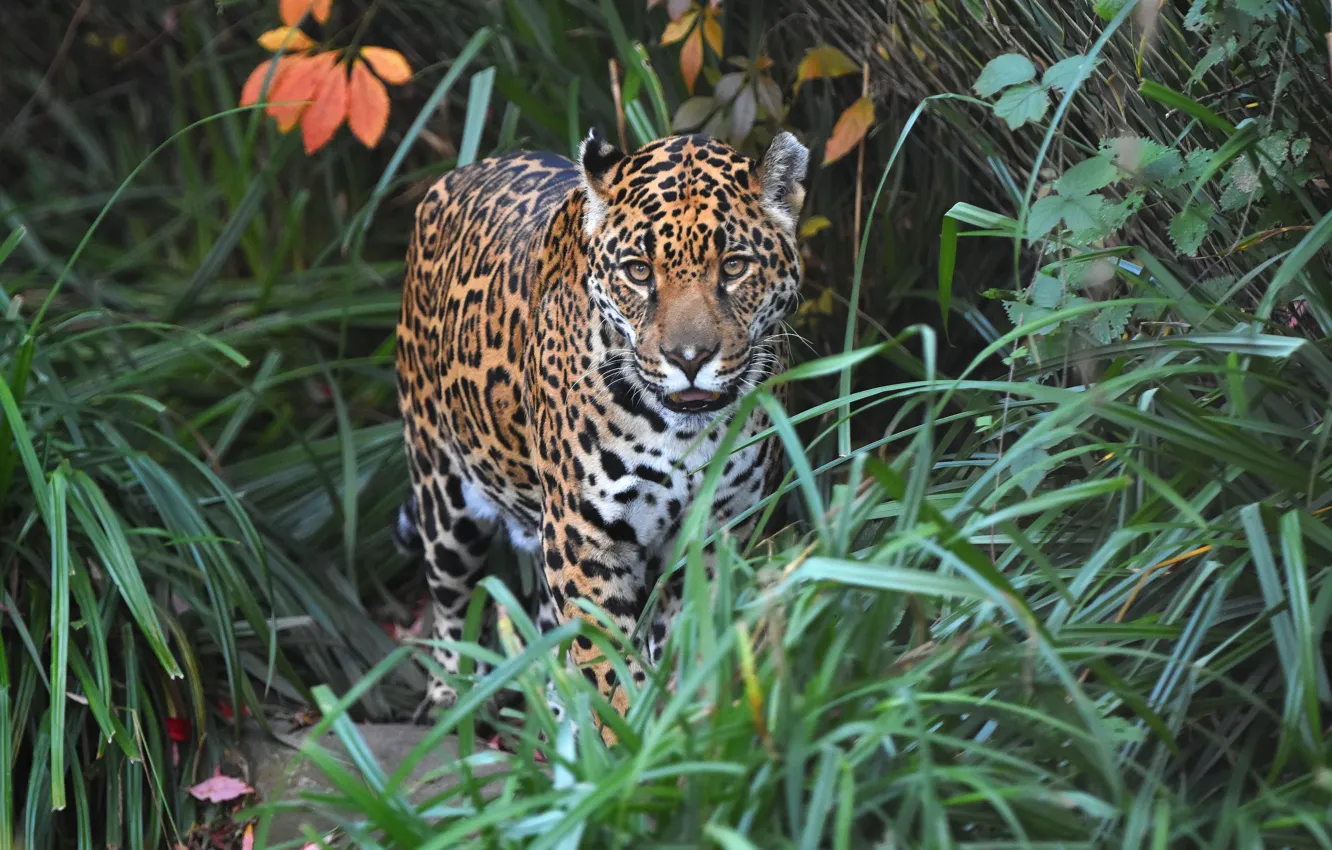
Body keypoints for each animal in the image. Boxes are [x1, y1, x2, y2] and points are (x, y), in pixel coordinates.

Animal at [393, 127, 809, 744]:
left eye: (734, 266)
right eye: (638, 271)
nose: (690, 358)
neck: (681, 436)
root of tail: (459, 174)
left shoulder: (721, 531)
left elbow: (687, 643)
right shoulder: (585, 541)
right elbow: (610, 664)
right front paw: (629, 743)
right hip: (443, 494)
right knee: (449, 600)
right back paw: (454, 699)